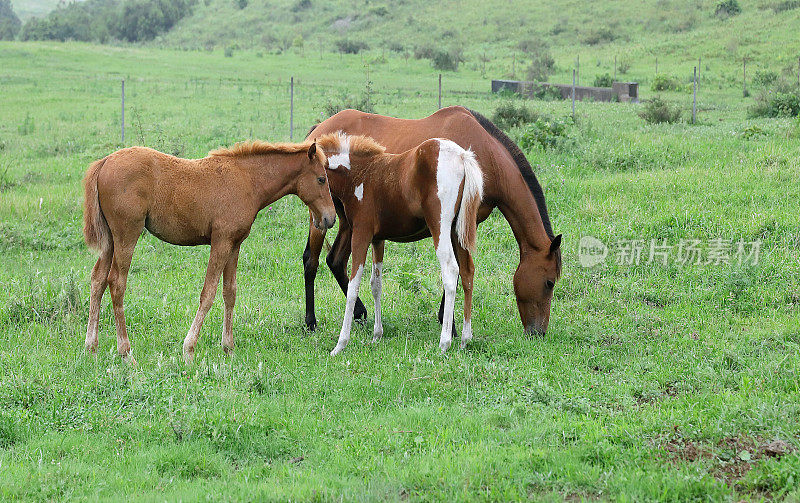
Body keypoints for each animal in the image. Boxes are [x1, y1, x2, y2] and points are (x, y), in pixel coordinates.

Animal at [83, 140, 338, 364]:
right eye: (321, 179)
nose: (330, 218)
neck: (247, 180)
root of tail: (105, 162)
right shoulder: (221, 241)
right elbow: (208, 293)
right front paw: (189, 350)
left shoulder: (235, 244)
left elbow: (230, 292)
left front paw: (229, 348)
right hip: (127, 235)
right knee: (116, 283)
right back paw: (126, 353)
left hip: (110, 241)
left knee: (98, 280)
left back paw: (91, 348)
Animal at [306, 106, 564, 336]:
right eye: (549, 283)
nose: (538, 332)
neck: (483, 154)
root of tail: (319, 129)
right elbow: (456, 271)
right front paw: (450, 325)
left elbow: (459, 271)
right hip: (320, 216)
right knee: (311, 261)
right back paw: (311, 322)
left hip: (347, 221)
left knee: (335, 260)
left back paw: (359, 313)